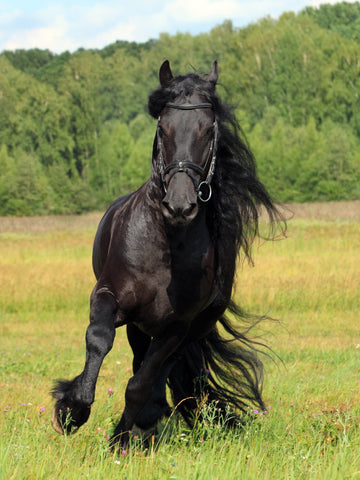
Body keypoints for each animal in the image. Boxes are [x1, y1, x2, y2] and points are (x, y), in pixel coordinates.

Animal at [51, 60, 282, 450]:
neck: (166, 247)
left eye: (209, 130)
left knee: (156, 373)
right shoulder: (109, 296)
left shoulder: (176, 327)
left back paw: (144, 425)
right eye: (163, 127)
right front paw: (72, 409)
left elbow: (141, 384)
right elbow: (98, 338)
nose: (179, 205)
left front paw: (120, 440)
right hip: (138, 325)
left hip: (182, 330)